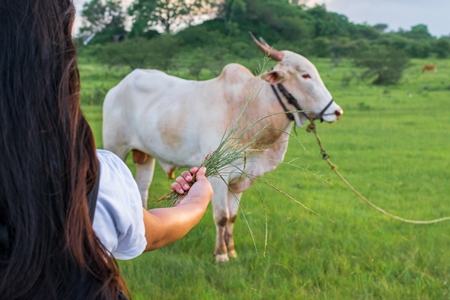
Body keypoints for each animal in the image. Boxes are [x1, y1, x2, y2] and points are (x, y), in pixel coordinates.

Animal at [102, 33, 342, 262]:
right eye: (305, 75)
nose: (337, 111)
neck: (249, 107)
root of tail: (118, 87)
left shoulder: (241, 178)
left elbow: (232, 217)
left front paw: (232, 251)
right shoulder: (219, 176)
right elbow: (222, 216)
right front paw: (221, 254)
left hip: (146, 155)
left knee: (142, 188)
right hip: (116, 148)